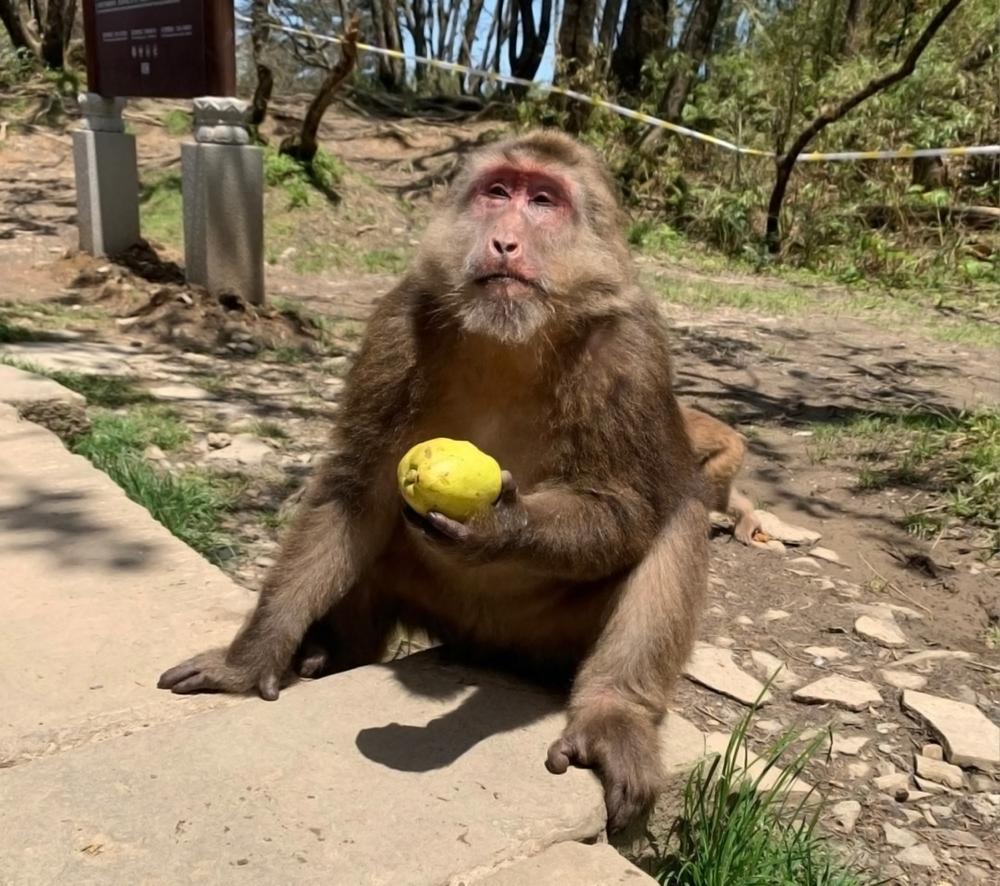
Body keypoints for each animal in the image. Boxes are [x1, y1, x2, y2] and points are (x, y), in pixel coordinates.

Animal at [156, 128, 708, 836]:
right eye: (498, 191)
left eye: (544, 201)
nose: (504, 241)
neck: (513, 340)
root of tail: (490, 650)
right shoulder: (396, 324)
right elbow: (354, 490)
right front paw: (247, 659)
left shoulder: (630, 354)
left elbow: (629, 512)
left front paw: (500, 528)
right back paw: (331, 651)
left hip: (555, 639)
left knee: (681, 517)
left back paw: (613, 716)